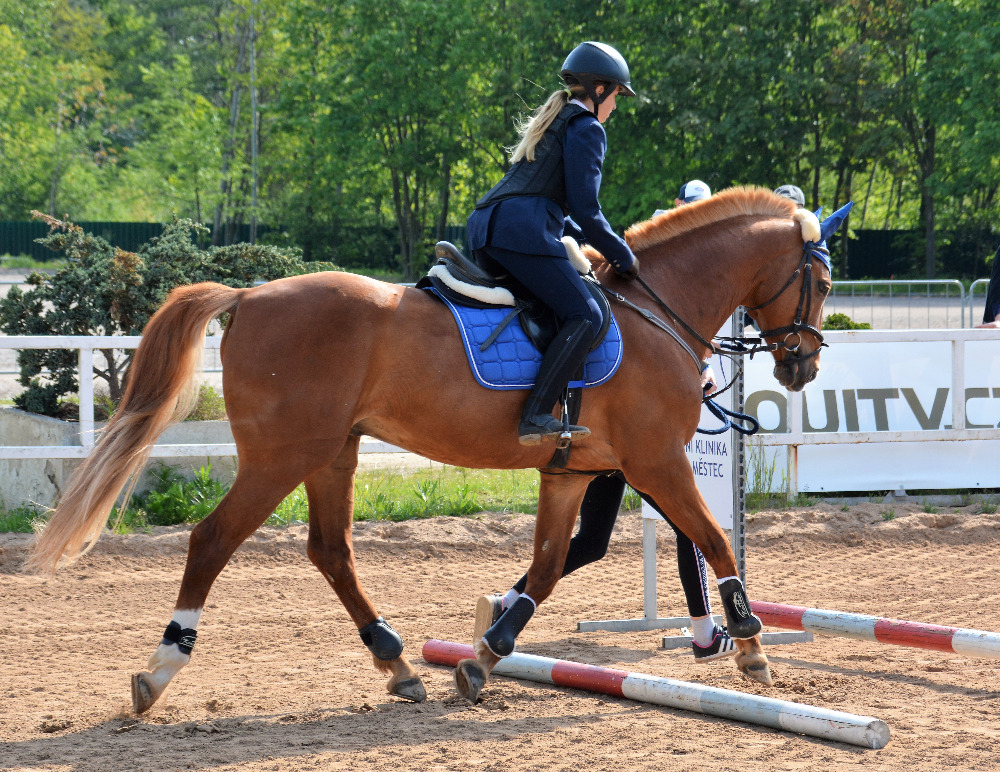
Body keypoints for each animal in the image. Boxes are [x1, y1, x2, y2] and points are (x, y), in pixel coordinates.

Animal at [27, 187, 832, 712]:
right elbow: (715, 540)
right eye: (821, 280)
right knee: (213, 540)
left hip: (333, 454)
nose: (803, 365)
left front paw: (484, 656)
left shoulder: (572, 471)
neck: (653, 309)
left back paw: (396, 664)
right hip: (281, 457)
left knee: (331, 551)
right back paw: (161, 669)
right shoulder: (655, 461)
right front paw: (750, 643)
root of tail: (249, 295)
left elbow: (546, 569)